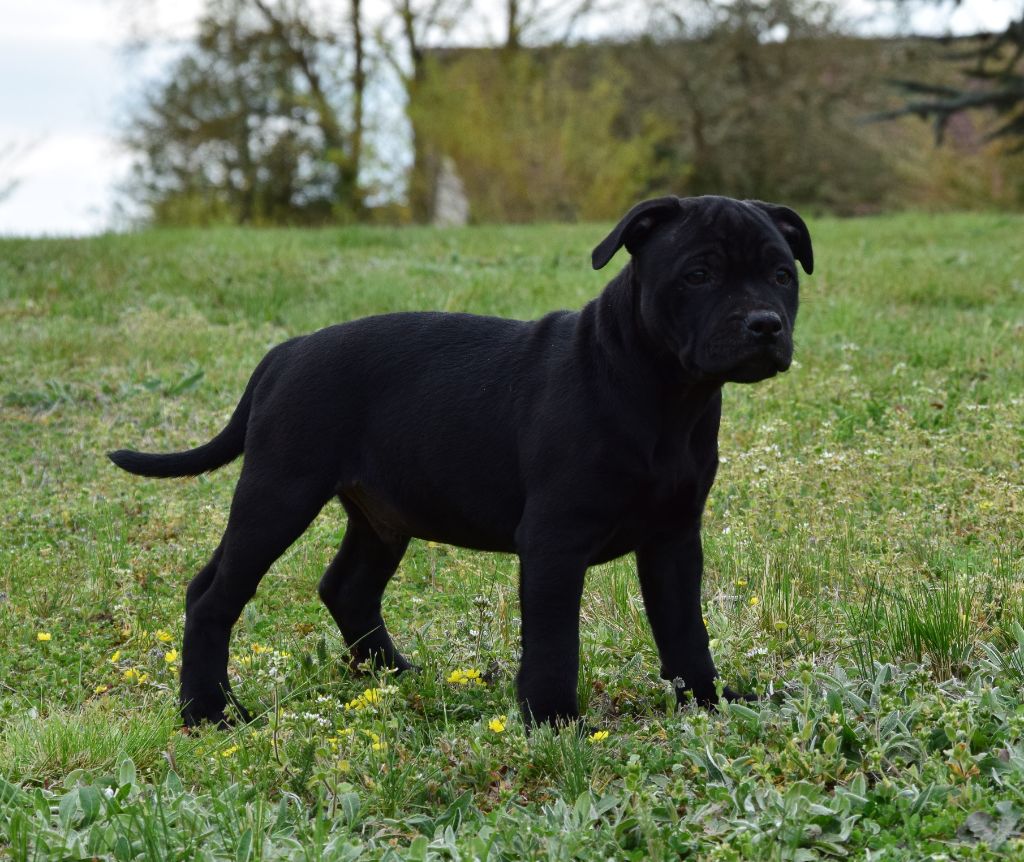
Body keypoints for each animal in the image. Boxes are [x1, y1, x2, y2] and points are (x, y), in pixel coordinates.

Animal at [110, 195, 812, 728]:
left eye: (783, 275)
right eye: (697, 275)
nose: (765, 324)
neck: (665, 394)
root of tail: (286, 351)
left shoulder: (674, 536)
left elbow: (685, 628)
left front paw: (709, 702)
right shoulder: (555, 539)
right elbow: (554, 641)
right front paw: (553, 721)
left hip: (380, 514)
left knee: (346, 587)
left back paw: (396, 675)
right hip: (279, 493)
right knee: (214, 595)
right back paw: (209, 713)